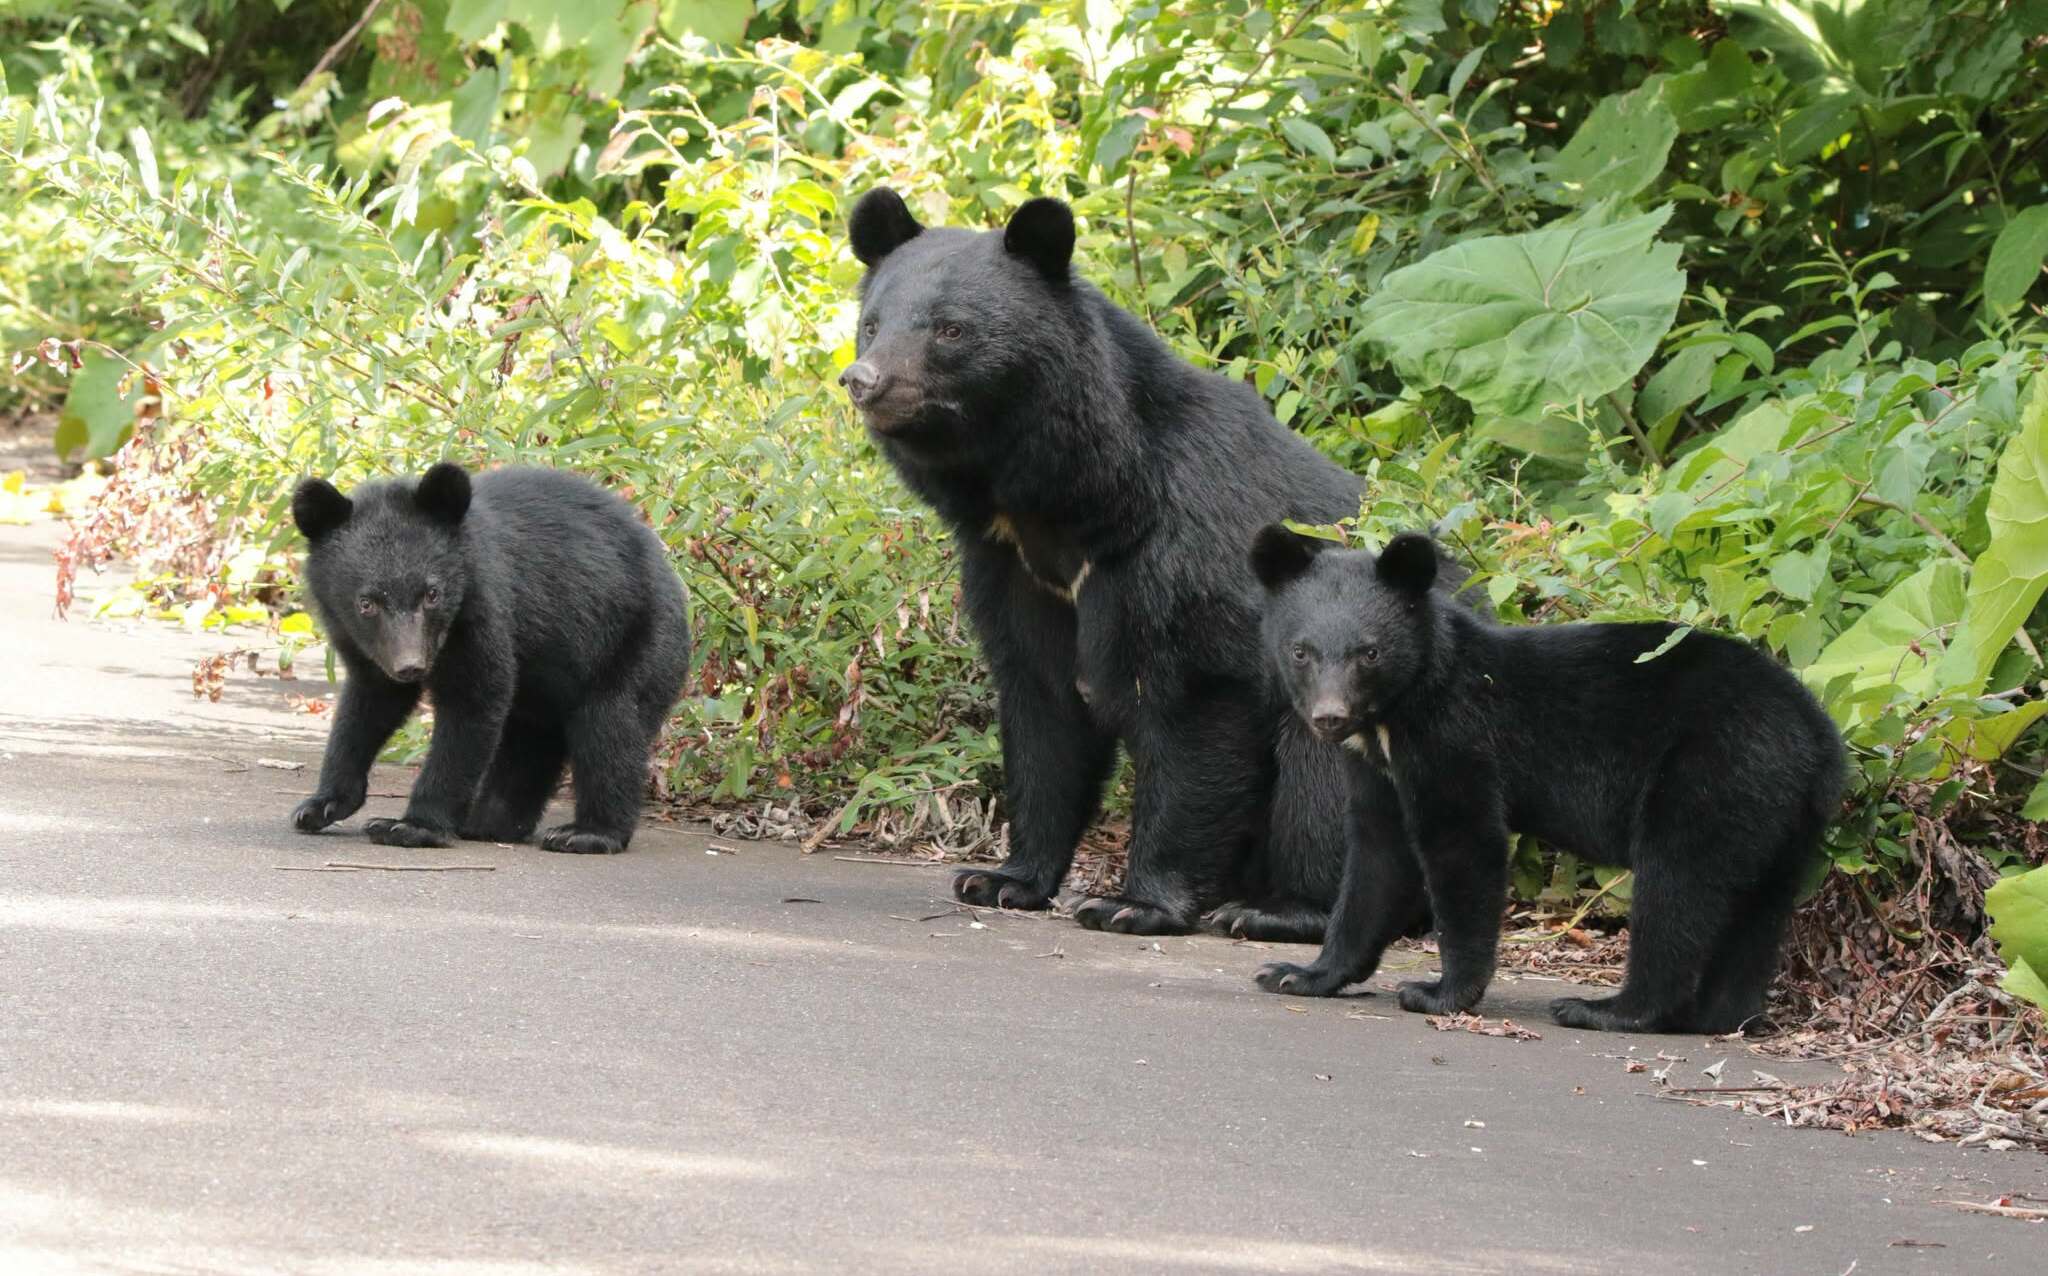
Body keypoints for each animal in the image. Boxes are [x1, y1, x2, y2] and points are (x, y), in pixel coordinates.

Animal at [288, 462, 692, 856]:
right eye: (367, 602)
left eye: (432, 594)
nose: (411, 666)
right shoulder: (364, 645)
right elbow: (367, 707)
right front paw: (319, 806)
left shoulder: (483, 610)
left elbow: (474, 700)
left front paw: (412, 826)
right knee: (530, 740)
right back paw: (491, 822)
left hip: (630, 640)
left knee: (611, 727)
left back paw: (586, 833)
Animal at [841, 186, 1459, 939]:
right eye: (872, 325)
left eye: (950, 331)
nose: (863, 380)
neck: (1064, 505)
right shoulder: (1011, 570)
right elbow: (1042, 704)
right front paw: (1003, 878)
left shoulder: (1181, 554)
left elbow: (1191, 708)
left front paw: (1134, 902)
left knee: (1323, 775)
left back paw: (1280, 909)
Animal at [1247, 526, 1845, 1033]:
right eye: (1300, 651)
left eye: (1369, 652)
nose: (1329, 717)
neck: (1398, 714)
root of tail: (1819, 736)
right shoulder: (1378, 766)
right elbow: (1377, 854)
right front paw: (1300, 973)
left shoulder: (1456, 738)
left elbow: (1463, 844)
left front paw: (1439, 992)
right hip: (1777, 811)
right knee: (1758, 910)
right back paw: (1718, 1015)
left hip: (1713, 770)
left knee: (1677, 885)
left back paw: (1608, 1008)